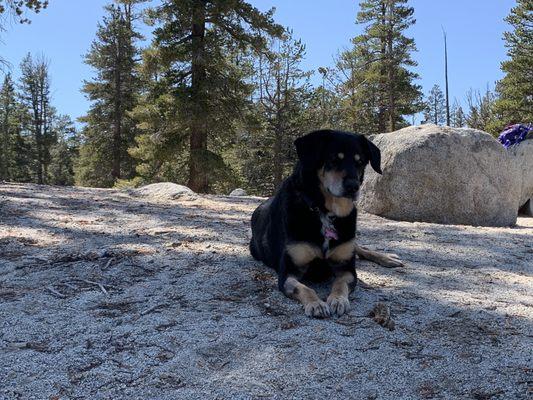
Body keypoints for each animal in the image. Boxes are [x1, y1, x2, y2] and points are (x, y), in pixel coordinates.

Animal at [249, 131, 404, 318]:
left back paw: (387, 258)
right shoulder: (288, 272)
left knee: (360, 248)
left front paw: (338, 300)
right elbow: (305, 289)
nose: (353, 187)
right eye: (334, 159)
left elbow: (340, 284)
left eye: (360, 162)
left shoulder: (347, 269)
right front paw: (316, 304)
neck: (325, 212)